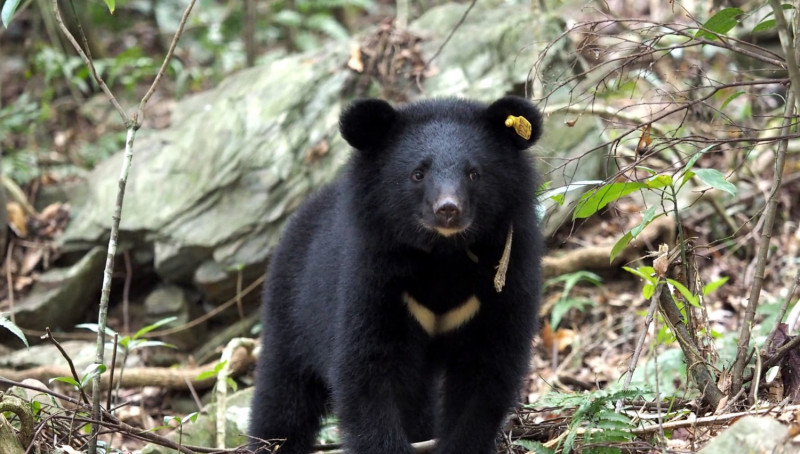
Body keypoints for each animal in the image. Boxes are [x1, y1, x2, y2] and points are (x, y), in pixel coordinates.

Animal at [248, 96, 544, 454]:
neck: (443, 256)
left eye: (474, 173)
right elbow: (368, 370)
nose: (448, 210)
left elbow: (486, 371)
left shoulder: (504, 279)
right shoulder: (373, 277)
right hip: (293, 310)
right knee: (283, 394)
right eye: (418, 173)